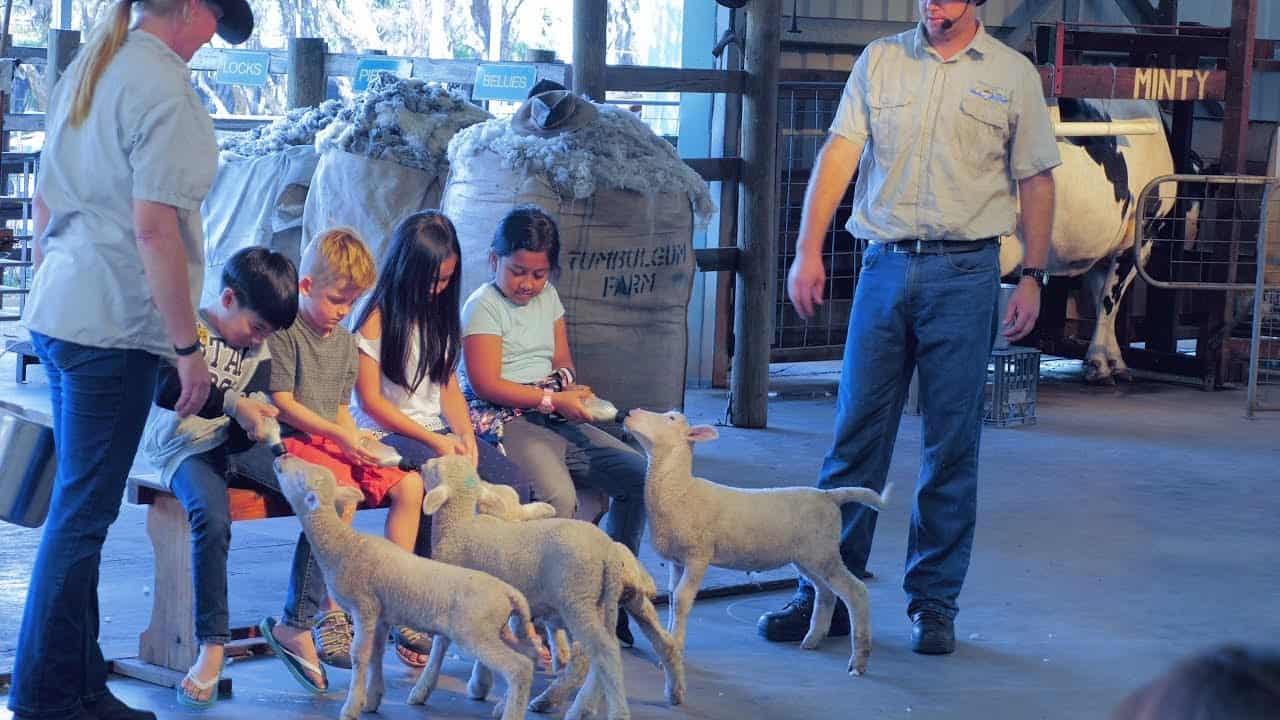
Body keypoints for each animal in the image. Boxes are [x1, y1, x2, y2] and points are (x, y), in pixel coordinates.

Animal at [275, 453, 545, 717]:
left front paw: (351, 708)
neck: (344, 544)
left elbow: (359, 655)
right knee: (531, 656)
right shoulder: (382, 614)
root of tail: (509, 593)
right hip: (497, 630)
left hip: (475, 632)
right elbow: (376, 654)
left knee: (519, 668)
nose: (281, 457)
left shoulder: (365, 606)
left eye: (300, 477)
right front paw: (372, 700)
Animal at [419, 456, 634, 712]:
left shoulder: (453, 592)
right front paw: (480, 684)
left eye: (435, 469)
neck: (458, 526)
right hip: (598, 603)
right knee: (600, 654)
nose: (423, 464)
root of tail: (609, 551)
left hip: (577, 599)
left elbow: (440, 645)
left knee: (601, 653)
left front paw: (422, 690)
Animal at [619, 409, 890, 671]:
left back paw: (858, 661)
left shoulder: (698, 556)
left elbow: (681, 600)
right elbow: (673, 598)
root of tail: (829, 496)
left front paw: (675, 649)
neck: (681, 490)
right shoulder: (677, 560)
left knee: (856, 591)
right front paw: (668, 643)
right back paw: (812, 639)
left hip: (823, 553)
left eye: (671, 418)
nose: (630, 413)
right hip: (810, 556)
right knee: (825, 593)